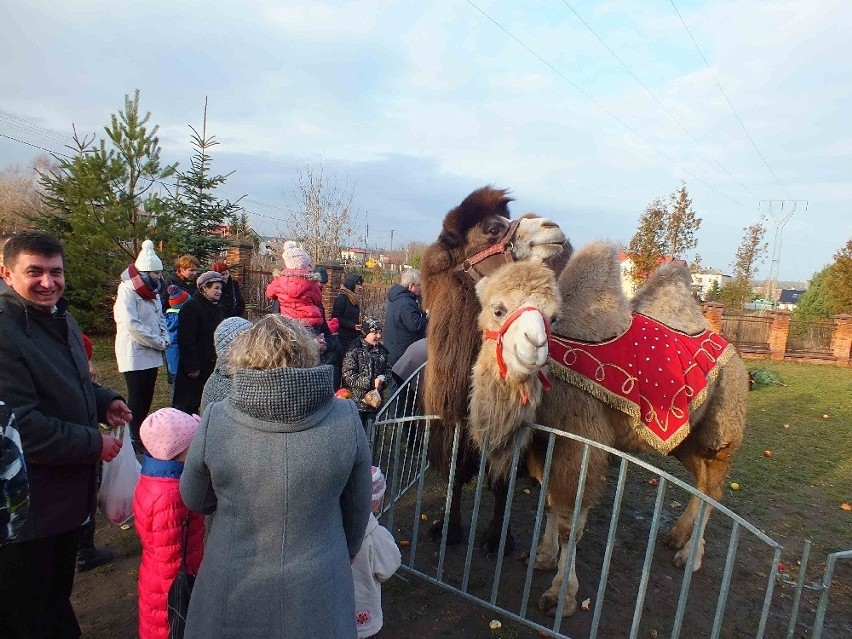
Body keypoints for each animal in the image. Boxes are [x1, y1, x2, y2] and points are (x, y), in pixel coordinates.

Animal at [422, 188, 568, 552]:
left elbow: (503, 482)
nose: (552, 227)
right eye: (491, 229)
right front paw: (449, 529)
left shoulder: (515, 435)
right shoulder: (451, 428)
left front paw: (496, 538)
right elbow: (456, 476)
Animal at [466, 242, 744, 616]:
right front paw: (543, 557)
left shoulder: (582, 442)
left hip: (722, 429)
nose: (534, 346)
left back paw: (690, 556)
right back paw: (677, 536)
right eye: (499, 310)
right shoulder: (544, 441)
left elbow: (570, 522)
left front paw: (561, 595)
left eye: (553, 319)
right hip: (687, 440)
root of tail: (736, 354)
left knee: (713, 488)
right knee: (702, 483)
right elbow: (551, 501)